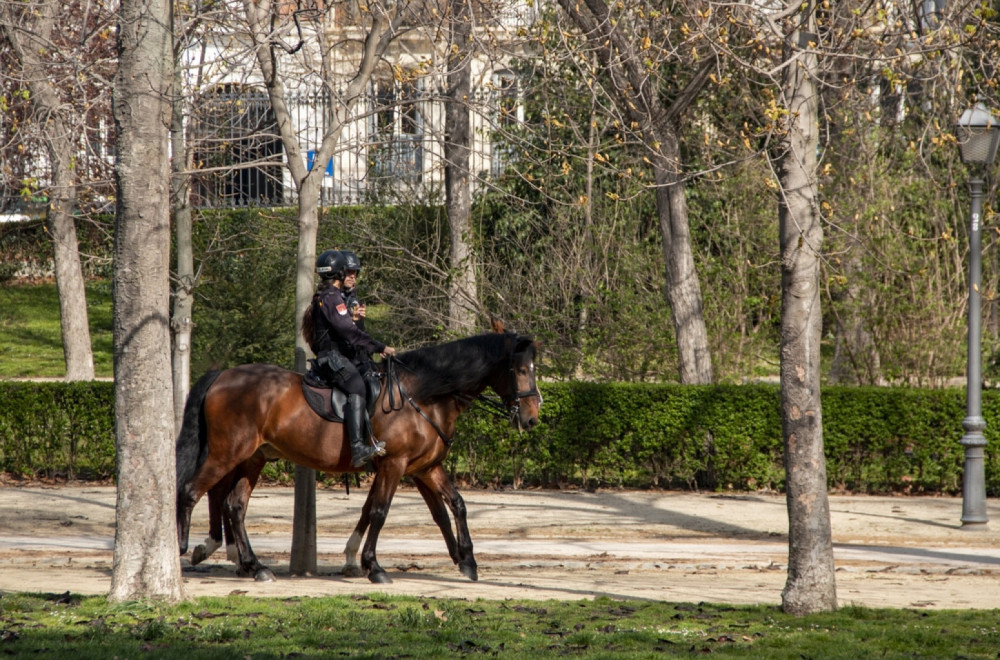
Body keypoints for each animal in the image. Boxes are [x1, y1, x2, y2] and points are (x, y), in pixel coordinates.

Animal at [176, 330, 544, 584]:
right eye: (521, 370)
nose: (532, 417)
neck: (423, 396)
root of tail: (223, 374)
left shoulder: (426, 467)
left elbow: (453, 505)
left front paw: (467, 560)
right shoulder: (395, 465)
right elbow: (380, 512)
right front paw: (373, 566)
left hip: (253, 458)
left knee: (234, 505)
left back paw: (255, 566)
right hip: (227, 453)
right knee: (192, 491)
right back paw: (185, 547)